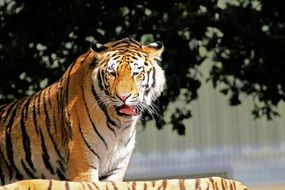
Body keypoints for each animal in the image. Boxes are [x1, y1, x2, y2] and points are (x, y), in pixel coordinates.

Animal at [0, 37, 165, 185]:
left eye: (136, 73)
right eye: (112, 73)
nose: (123, 97)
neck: (120, 126)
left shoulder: (115, 170)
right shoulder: (82, 163)